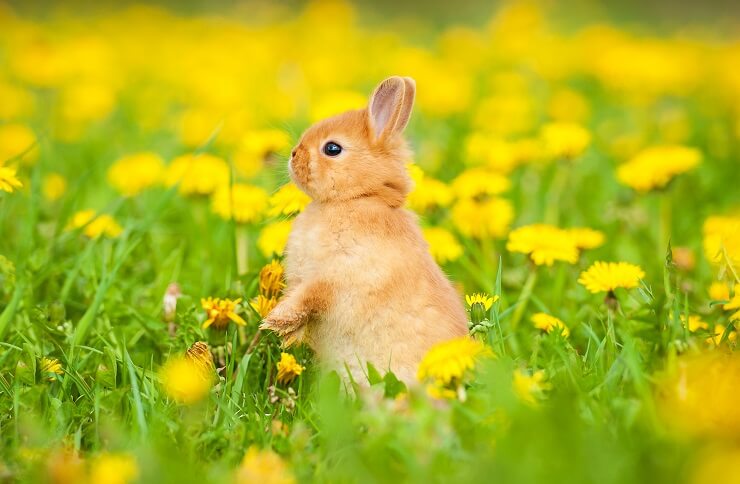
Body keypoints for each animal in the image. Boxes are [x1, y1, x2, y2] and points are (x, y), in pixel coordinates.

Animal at [264, 75, 466, 386]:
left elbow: (310, 296)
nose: (293, 155)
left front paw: (275, 320)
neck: (356, 198)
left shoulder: (340, 272)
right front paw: (288, 333)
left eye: (332, 149)